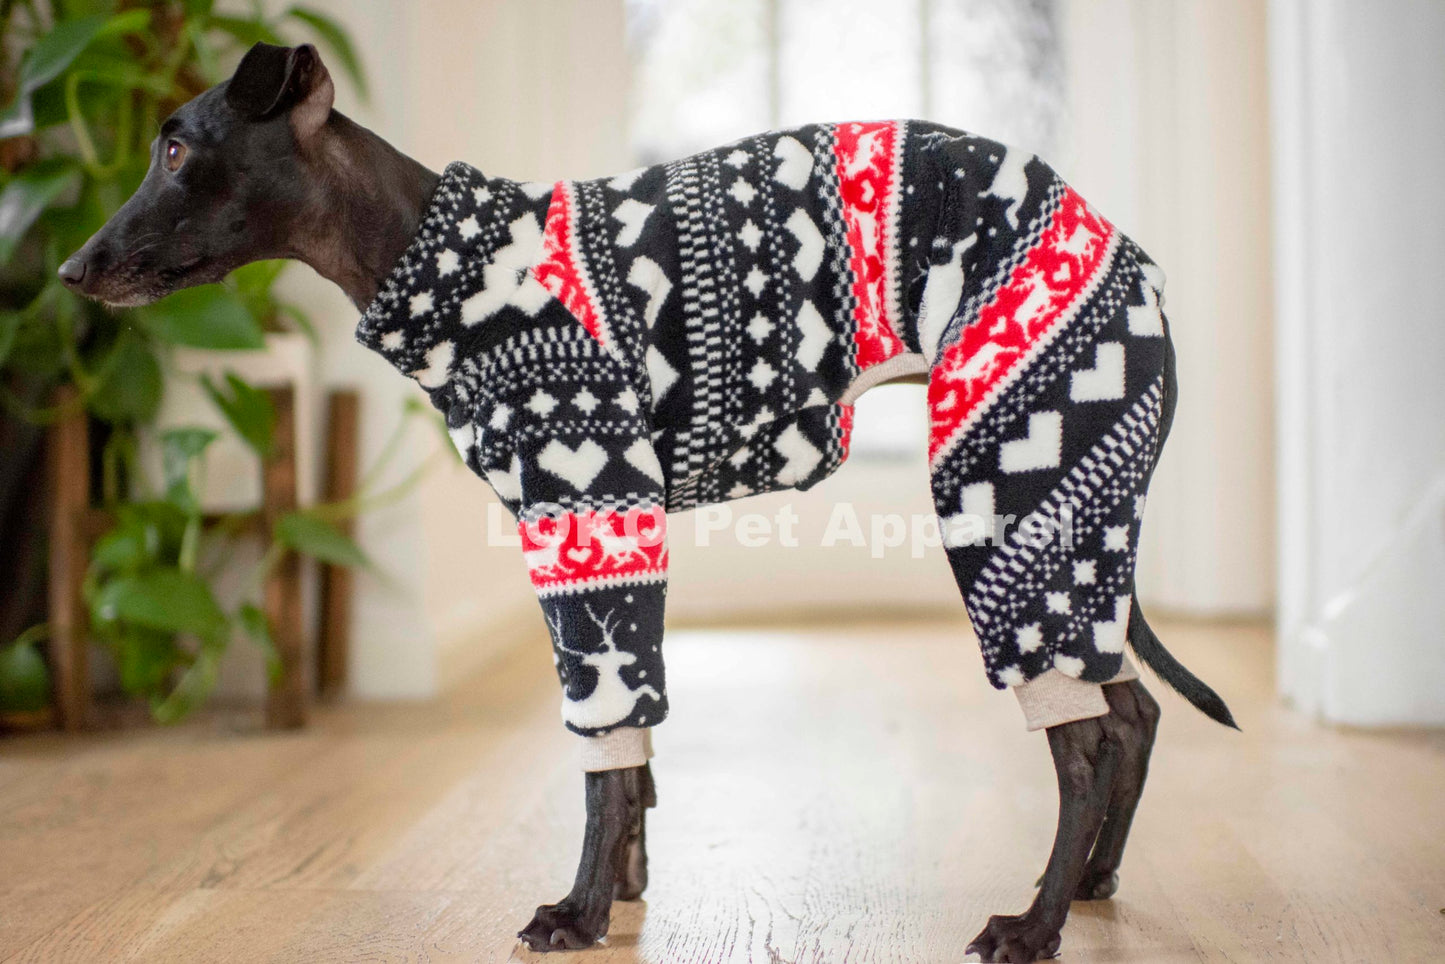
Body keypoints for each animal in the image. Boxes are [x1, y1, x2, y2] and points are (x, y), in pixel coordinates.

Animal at [59, 41, 1231, 959]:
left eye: (177, 150)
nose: (70, 270)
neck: (445, 260)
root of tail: (1132, 257)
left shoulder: (589, 516)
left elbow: (604, 753)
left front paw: (576, 913)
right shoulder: (602, 535)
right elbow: (631, 759)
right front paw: (620, 891)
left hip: (1006, 494)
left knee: (1084, 736)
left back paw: (1032, 925)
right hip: (1073, 520)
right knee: (1129, 709)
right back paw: (1089, 883)